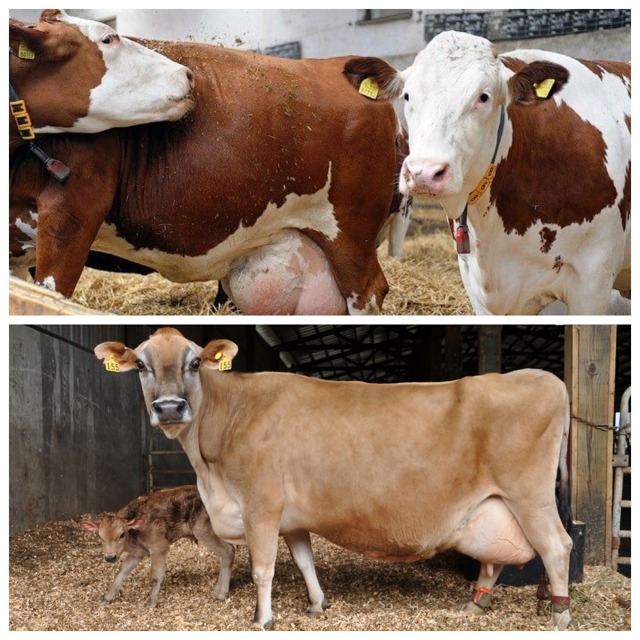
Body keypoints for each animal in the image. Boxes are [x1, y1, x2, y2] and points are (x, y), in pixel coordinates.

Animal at [81, 485, 235, 607]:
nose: (110, 557)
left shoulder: (159, 547)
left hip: (202, 530)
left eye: (122, 534)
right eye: (100, 537)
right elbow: (123, 570)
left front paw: (151, 602)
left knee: (227, 551)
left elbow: (156, 574)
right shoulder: (139, 552)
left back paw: (220, 593)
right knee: (229, 551)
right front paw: (107, 597)